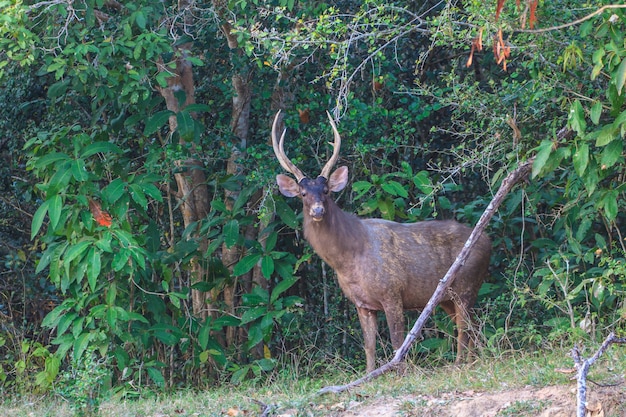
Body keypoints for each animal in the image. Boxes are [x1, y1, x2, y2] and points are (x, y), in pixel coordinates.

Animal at [270, 110, 490, 370]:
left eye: (326, 191)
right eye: (303, 194)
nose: (317, 210)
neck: (349, 260)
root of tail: (488, 241)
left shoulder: (392, 291)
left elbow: (397, 342)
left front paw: (399, 372)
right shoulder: (362, 303)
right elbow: (369, 346)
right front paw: (369, 373)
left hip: (467, 283)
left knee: (464, 330)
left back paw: (459, 364)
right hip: (448, 296)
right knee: (471, 327)